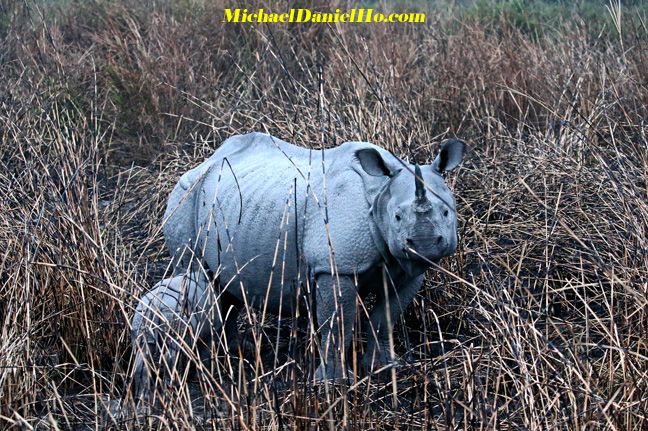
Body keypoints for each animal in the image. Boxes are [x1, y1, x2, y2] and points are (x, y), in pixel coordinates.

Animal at [158, 132, 466, 382]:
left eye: (447, 212)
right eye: (398, 217)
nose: (424, 245)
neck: (380, 195)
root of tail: (206, 161)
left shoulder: (406, 271)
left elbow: (385, 317)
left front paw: (384, 367)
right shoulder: (334, 265)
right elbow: (337, 323)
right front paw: (333, 382)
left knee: (225, 286)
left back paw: (237, 349)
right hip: (184, 198)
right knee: (196, 278)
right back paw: (207, 362)